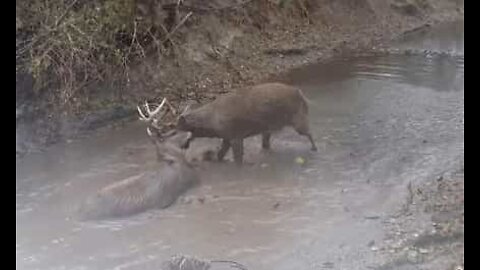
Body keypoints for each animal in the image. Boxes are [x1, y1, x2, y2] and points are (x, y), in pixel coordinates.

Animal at [137, 82, 316, 166]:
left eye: (172, 131)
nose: (183, 144)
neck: (212, 123)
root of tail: (300, 92)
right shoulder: (227, 138)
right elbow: (220, 156)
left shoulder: (235, 135)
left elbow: (237, 160)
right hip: (268, 127)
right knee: (266, 144)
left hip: (298, 118)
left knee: (310, 134)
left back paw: (314, 150)